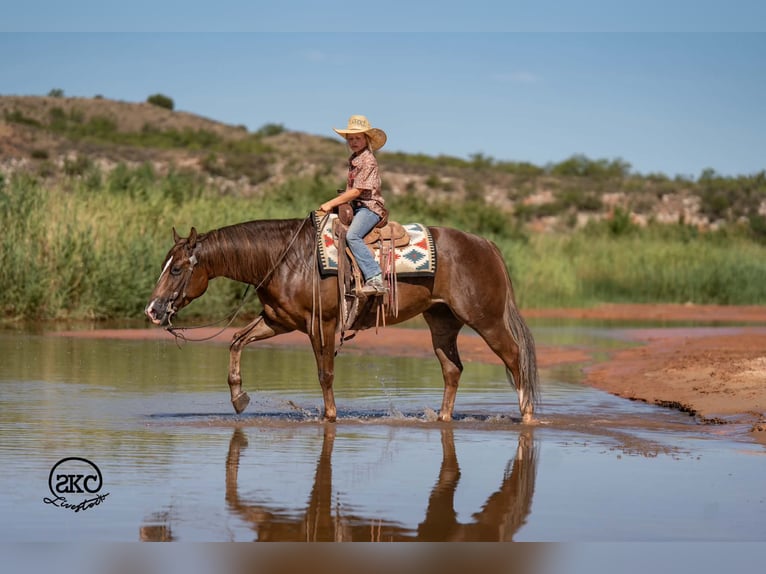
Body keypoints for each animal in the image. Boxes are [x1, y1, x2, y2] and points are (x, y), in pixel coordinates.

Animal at [144, 215, 539, 423]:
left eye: (177, 269)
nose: (153, 310)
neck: (287, 259)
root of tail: (485, 245)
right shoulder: (279, 320)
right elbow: (236, 341)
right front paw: (239, 397)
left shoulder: (321, 324)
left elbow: (325, 373)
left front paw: (330, 417)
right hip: (442, 321)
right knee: (452, 369)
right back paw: (442, 419)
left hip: (485, 319)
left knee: (514, 357)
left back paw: (528, 417)